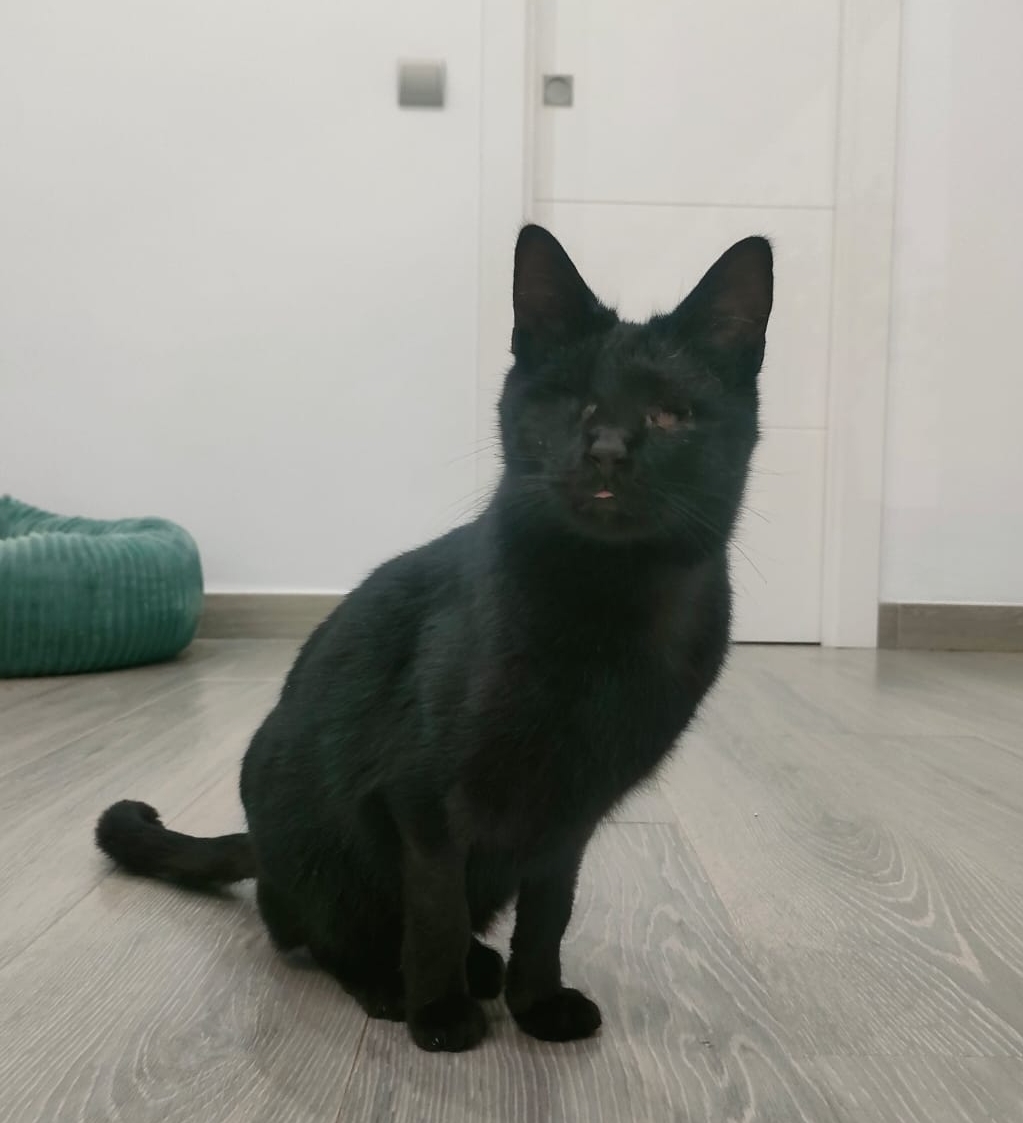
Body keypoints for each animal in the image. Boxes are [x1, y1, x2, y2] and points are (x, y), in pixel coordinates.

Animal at [96, 224, 772, 1053]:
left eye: (670, 416)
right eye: (568, 401)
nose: (608, 447)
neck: (605, 607)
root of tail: (260, 845)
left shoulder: (568, 819)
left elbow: (549, 916)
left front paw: (536, 1003)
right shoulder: (421, 799)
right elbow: (435, 912)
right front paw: (440, 1015)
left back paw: (483, 968)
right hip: (310, 828)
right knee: (317, 930)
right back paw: (393, 983)